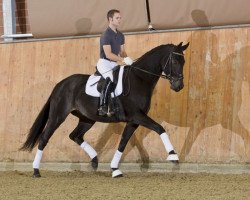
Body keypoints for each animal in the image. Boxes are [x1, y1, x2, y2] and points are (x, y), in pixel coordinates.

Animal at [20, 42, 189, 178]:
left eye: (184, 61)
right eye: (175, 61)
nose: (178, 86)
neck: (139, 79)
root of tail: (60, 84)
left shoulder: (133, 120)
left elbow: (123, 143)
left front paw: (115, 169)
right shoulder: (137, 116)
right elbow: (160, 128)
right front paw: (173, 156)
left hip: (87, 119)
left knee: (75, 135)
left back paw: (95, 160)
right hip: (58, 116)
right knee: (44, 138)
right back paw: (36, 171)